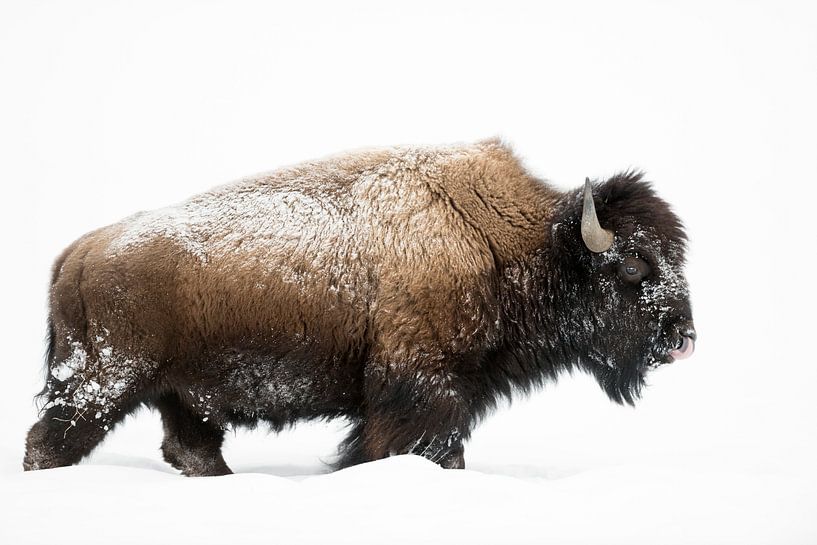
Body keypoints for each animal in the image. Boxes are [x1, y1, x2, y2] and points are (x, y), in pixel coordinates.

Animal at [24, 139, 695, 475]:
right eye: (633, 266)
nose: (684, 338)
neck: (501, 240)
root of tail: (79, 253)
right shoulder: (422, 387)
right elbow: (423, 447)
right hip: (105, 383)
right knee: (51, 440)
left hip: (178, 394)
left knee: (191, 447)